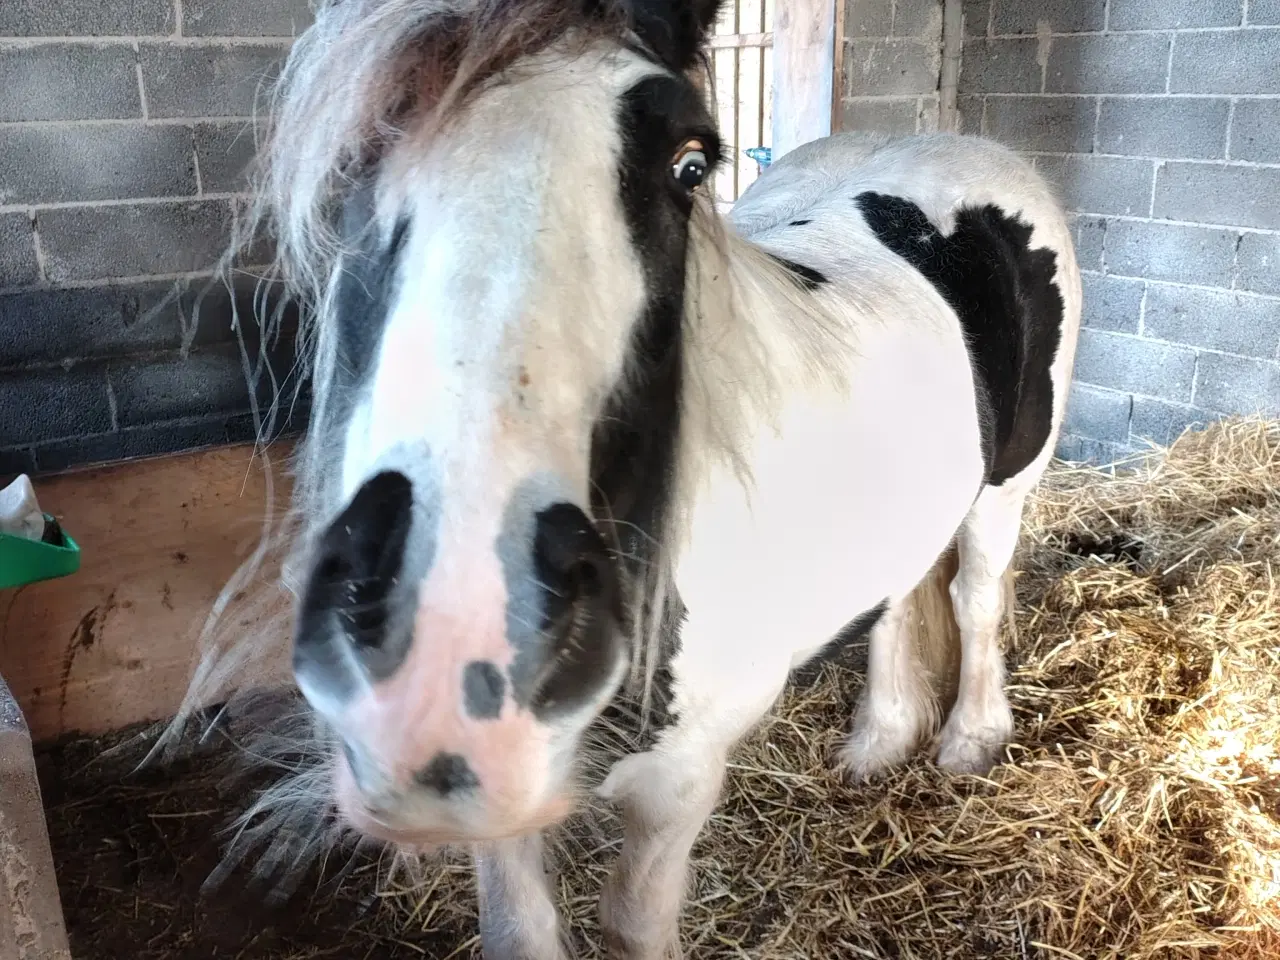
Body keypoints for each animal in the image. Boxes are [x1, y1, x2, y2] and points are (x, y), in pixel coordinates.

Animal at [175, 1, 1080, 957]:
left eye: (691, 164)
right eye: (351, 162)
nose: (447, 665)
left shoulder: (677, 782)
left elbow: (636, 919)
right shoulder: (507, 804)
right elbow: (522, 930)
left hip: (1007, 486)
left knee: (974, 597)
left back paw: (969, 739)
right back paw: (879, 739)